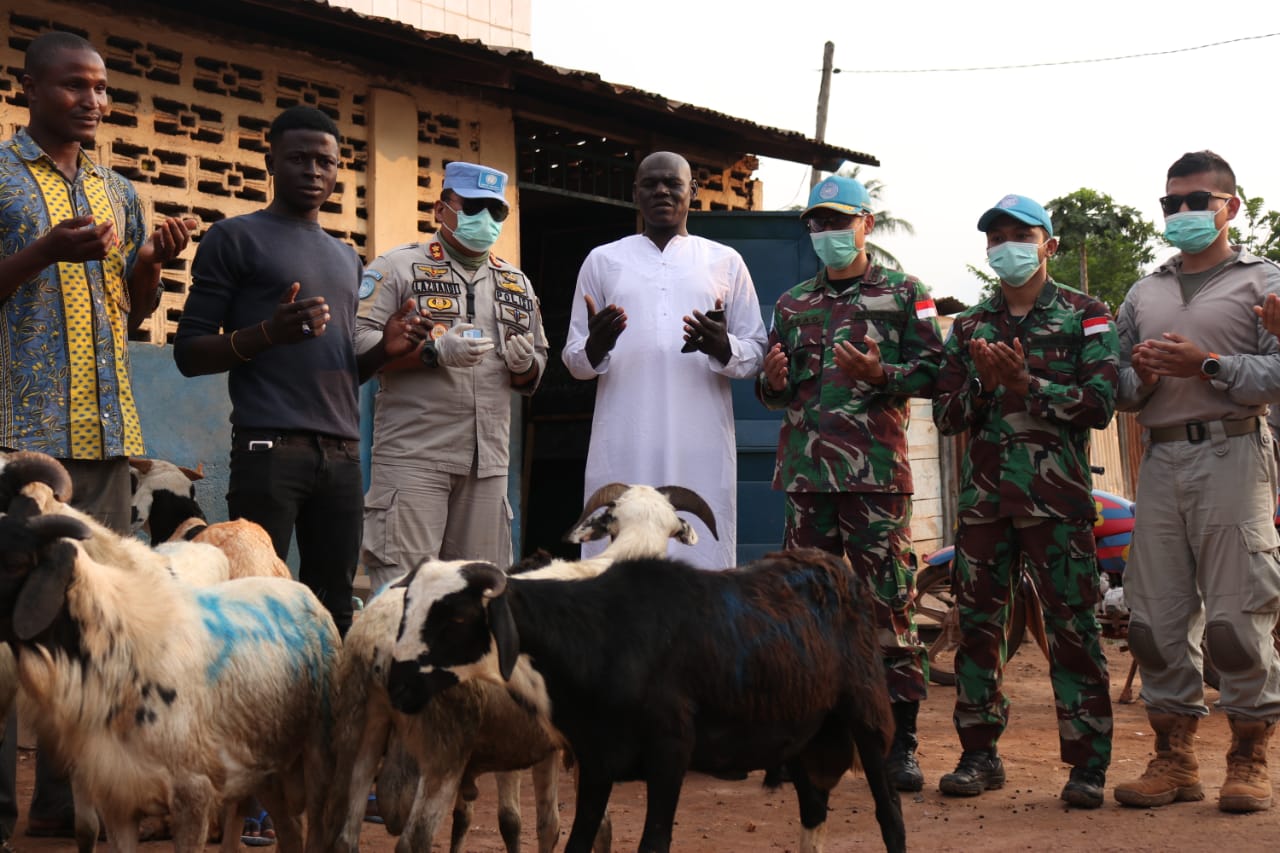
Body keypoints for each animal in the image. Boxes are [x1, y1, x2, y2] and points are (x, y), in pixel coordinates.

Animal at [384, 545, 906, 850]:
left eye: (456, 617)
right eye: (407, 608)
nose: (396, 686)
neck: (599, 634)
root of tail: (833, 564)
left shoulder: (669, 755)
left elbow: (652, 845)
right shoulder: (596, 759)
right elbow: (578, 844)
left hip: (867, 718)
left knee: (890, 816)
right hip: (803, 736)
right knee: (814, 811)